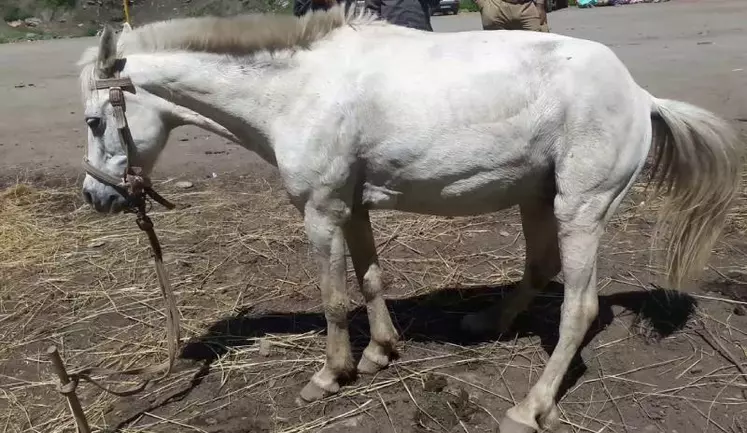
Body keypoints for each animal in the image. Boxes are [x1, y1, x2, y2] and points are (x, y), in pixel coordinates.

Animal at [76, 7, 744, 432]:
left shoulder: (321, 212)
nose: (96, 198)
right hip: (538, 199)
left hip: (580, 209)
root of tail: (641, 96)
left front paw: (330, 375)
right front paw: (379, 353)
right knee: (539, 268)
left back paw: (528, 409)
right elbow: (371, 280)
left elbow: (332, 298)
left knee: (578, 308)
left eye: (92, 120)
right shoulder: (354, 208)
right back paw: (487, 322)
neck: (297, 90)